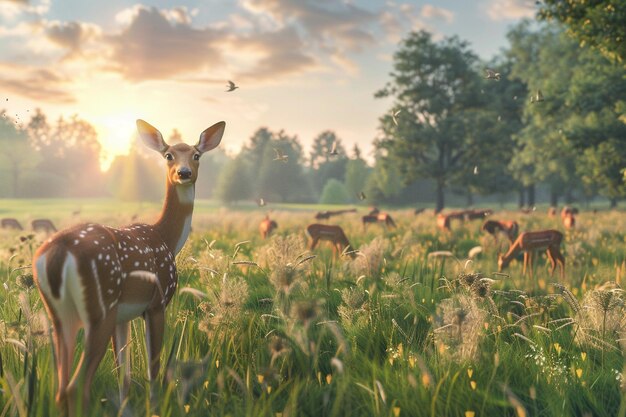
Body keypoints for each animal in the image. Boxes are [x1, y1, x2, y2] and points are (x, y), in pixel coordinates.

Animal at [31, 118, 225, 414]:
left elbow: (124, 376)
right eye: (168, 155)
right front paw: (155, 408)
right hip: (100, 308)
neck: (166, 238)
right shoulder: (156, 302)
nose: (183, 173)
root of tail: (58, 253)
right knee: (77, 386)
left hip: (60, 315)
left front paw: (125, 408)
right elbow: (153, 369)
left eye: (196, 155)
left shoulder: (123, 316)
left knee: (61, 388)